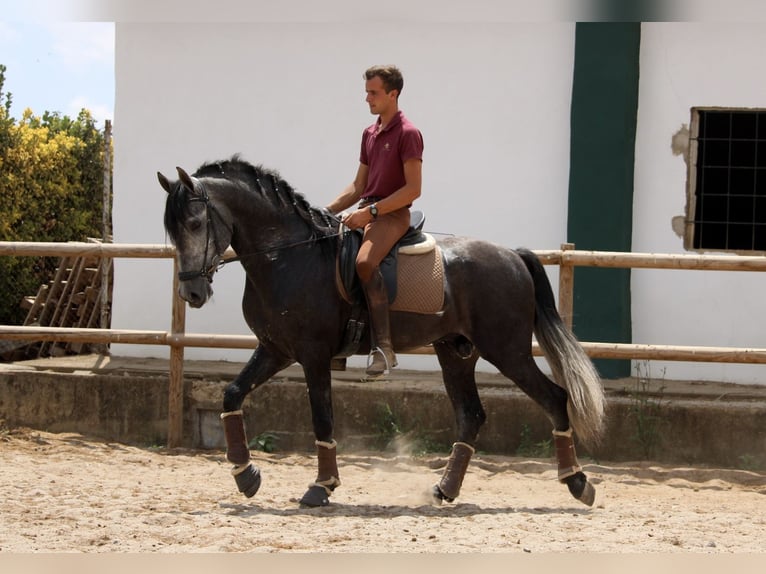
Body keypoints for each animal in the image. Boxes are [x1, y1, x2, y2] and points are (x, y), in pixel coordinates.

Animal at [160, 156, 608, 508]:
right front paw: (246, 475)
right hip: (456, 351)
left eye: (196, 223)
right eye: (172, 229)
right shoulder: (275, 349)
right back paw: (445, 489)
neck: (286, 256)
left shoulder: (312, 355)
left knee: (555, 399)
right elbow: (232, 394)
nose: (192, 293)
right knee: (471, 415)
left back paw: (577, 482)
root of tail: (512, 255)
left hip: (507, 350)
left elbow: (321, 418)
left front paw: (321, 487)